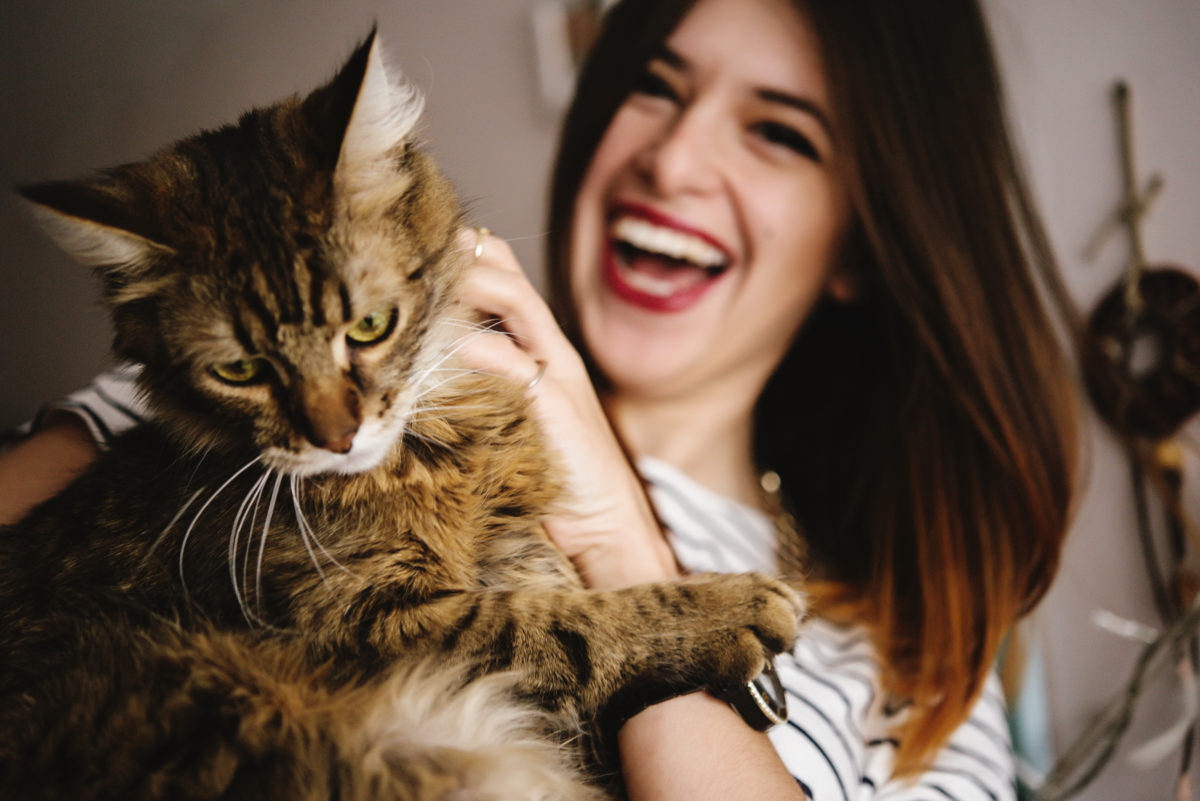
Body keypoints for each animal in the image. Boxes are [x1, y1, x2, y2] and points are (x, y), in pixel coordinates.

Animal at [2, 31, 806, 801]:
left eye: (369, 327)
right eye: (240, 371)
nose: (336, 437)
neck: (440, 451)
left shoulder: (519, 544)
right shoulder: (367, 620)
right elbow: (563, 625)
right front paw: (729, 606)